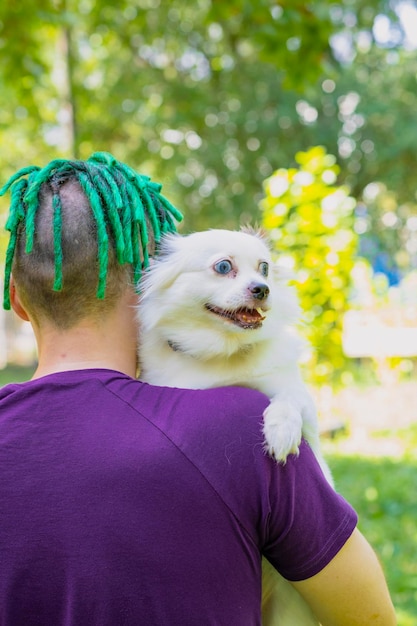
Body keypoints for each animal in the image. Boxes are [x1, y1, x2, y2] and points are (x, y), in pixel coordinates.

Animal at [138, 229, 330, 624]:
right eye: (224, 267)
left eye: (265, 269)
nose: (262, 288)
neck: (222, 355)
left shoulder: (297, 398)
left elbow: (289, 400)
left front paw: (280, 431)